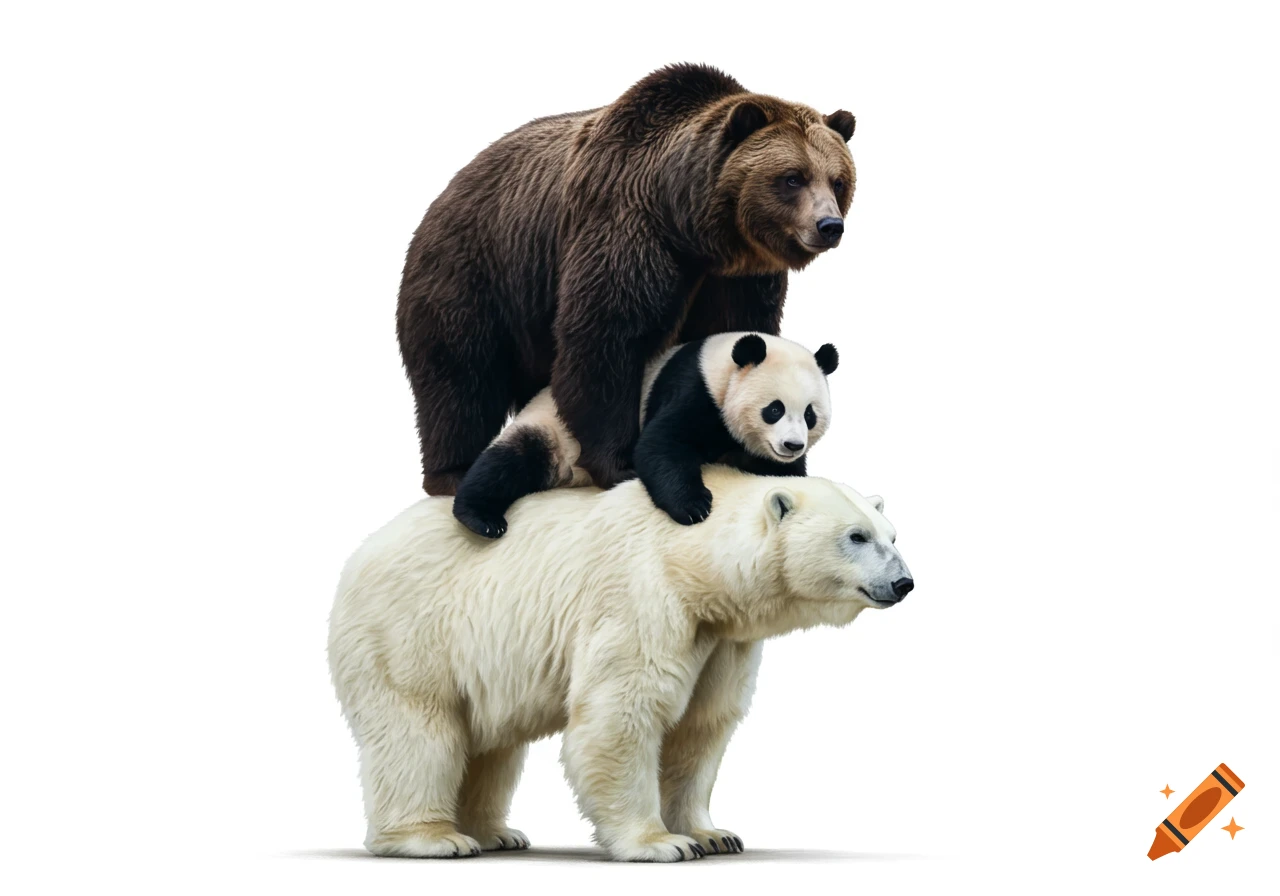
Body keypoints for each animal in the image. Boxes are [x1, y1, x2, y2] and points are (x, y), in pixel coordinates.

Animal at [328, 467, 913, 862]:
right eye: (856, 536)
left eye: (891, 534)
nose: (904, 582)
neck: (692, 560)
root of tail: (359, 554)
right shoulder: (641, 596)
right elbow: (623, 715)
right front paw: (660, 844)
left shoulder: (721, 639)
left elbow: (701, 726)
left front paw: (713, 834)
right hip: (411, 632)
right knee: (420, 730)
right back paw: (434, 837)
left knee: (492, 745)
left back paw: (497, 833)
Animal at [397, 63, 856, 496]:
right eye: (793, 177)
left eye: (838, 180)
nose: (829, 225)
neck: (692, 227)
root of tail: (447, 189)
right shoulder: (627, 231)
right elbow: (607, 337)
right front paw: (618, 463)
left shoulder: (738, 277)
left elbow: (736, 333)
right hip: (476, 273)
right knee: (460, 375)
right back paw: (453, 471)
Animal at [452, 332, 839, 538]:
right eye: (774, 409)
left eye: (809, 414)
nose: (792, 445)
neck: (725, 368)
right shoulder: (694, 389)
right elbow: (660, 445)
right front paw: (694, 507)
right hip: (555, 430)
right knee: (513, 460)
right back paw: (481, 518)